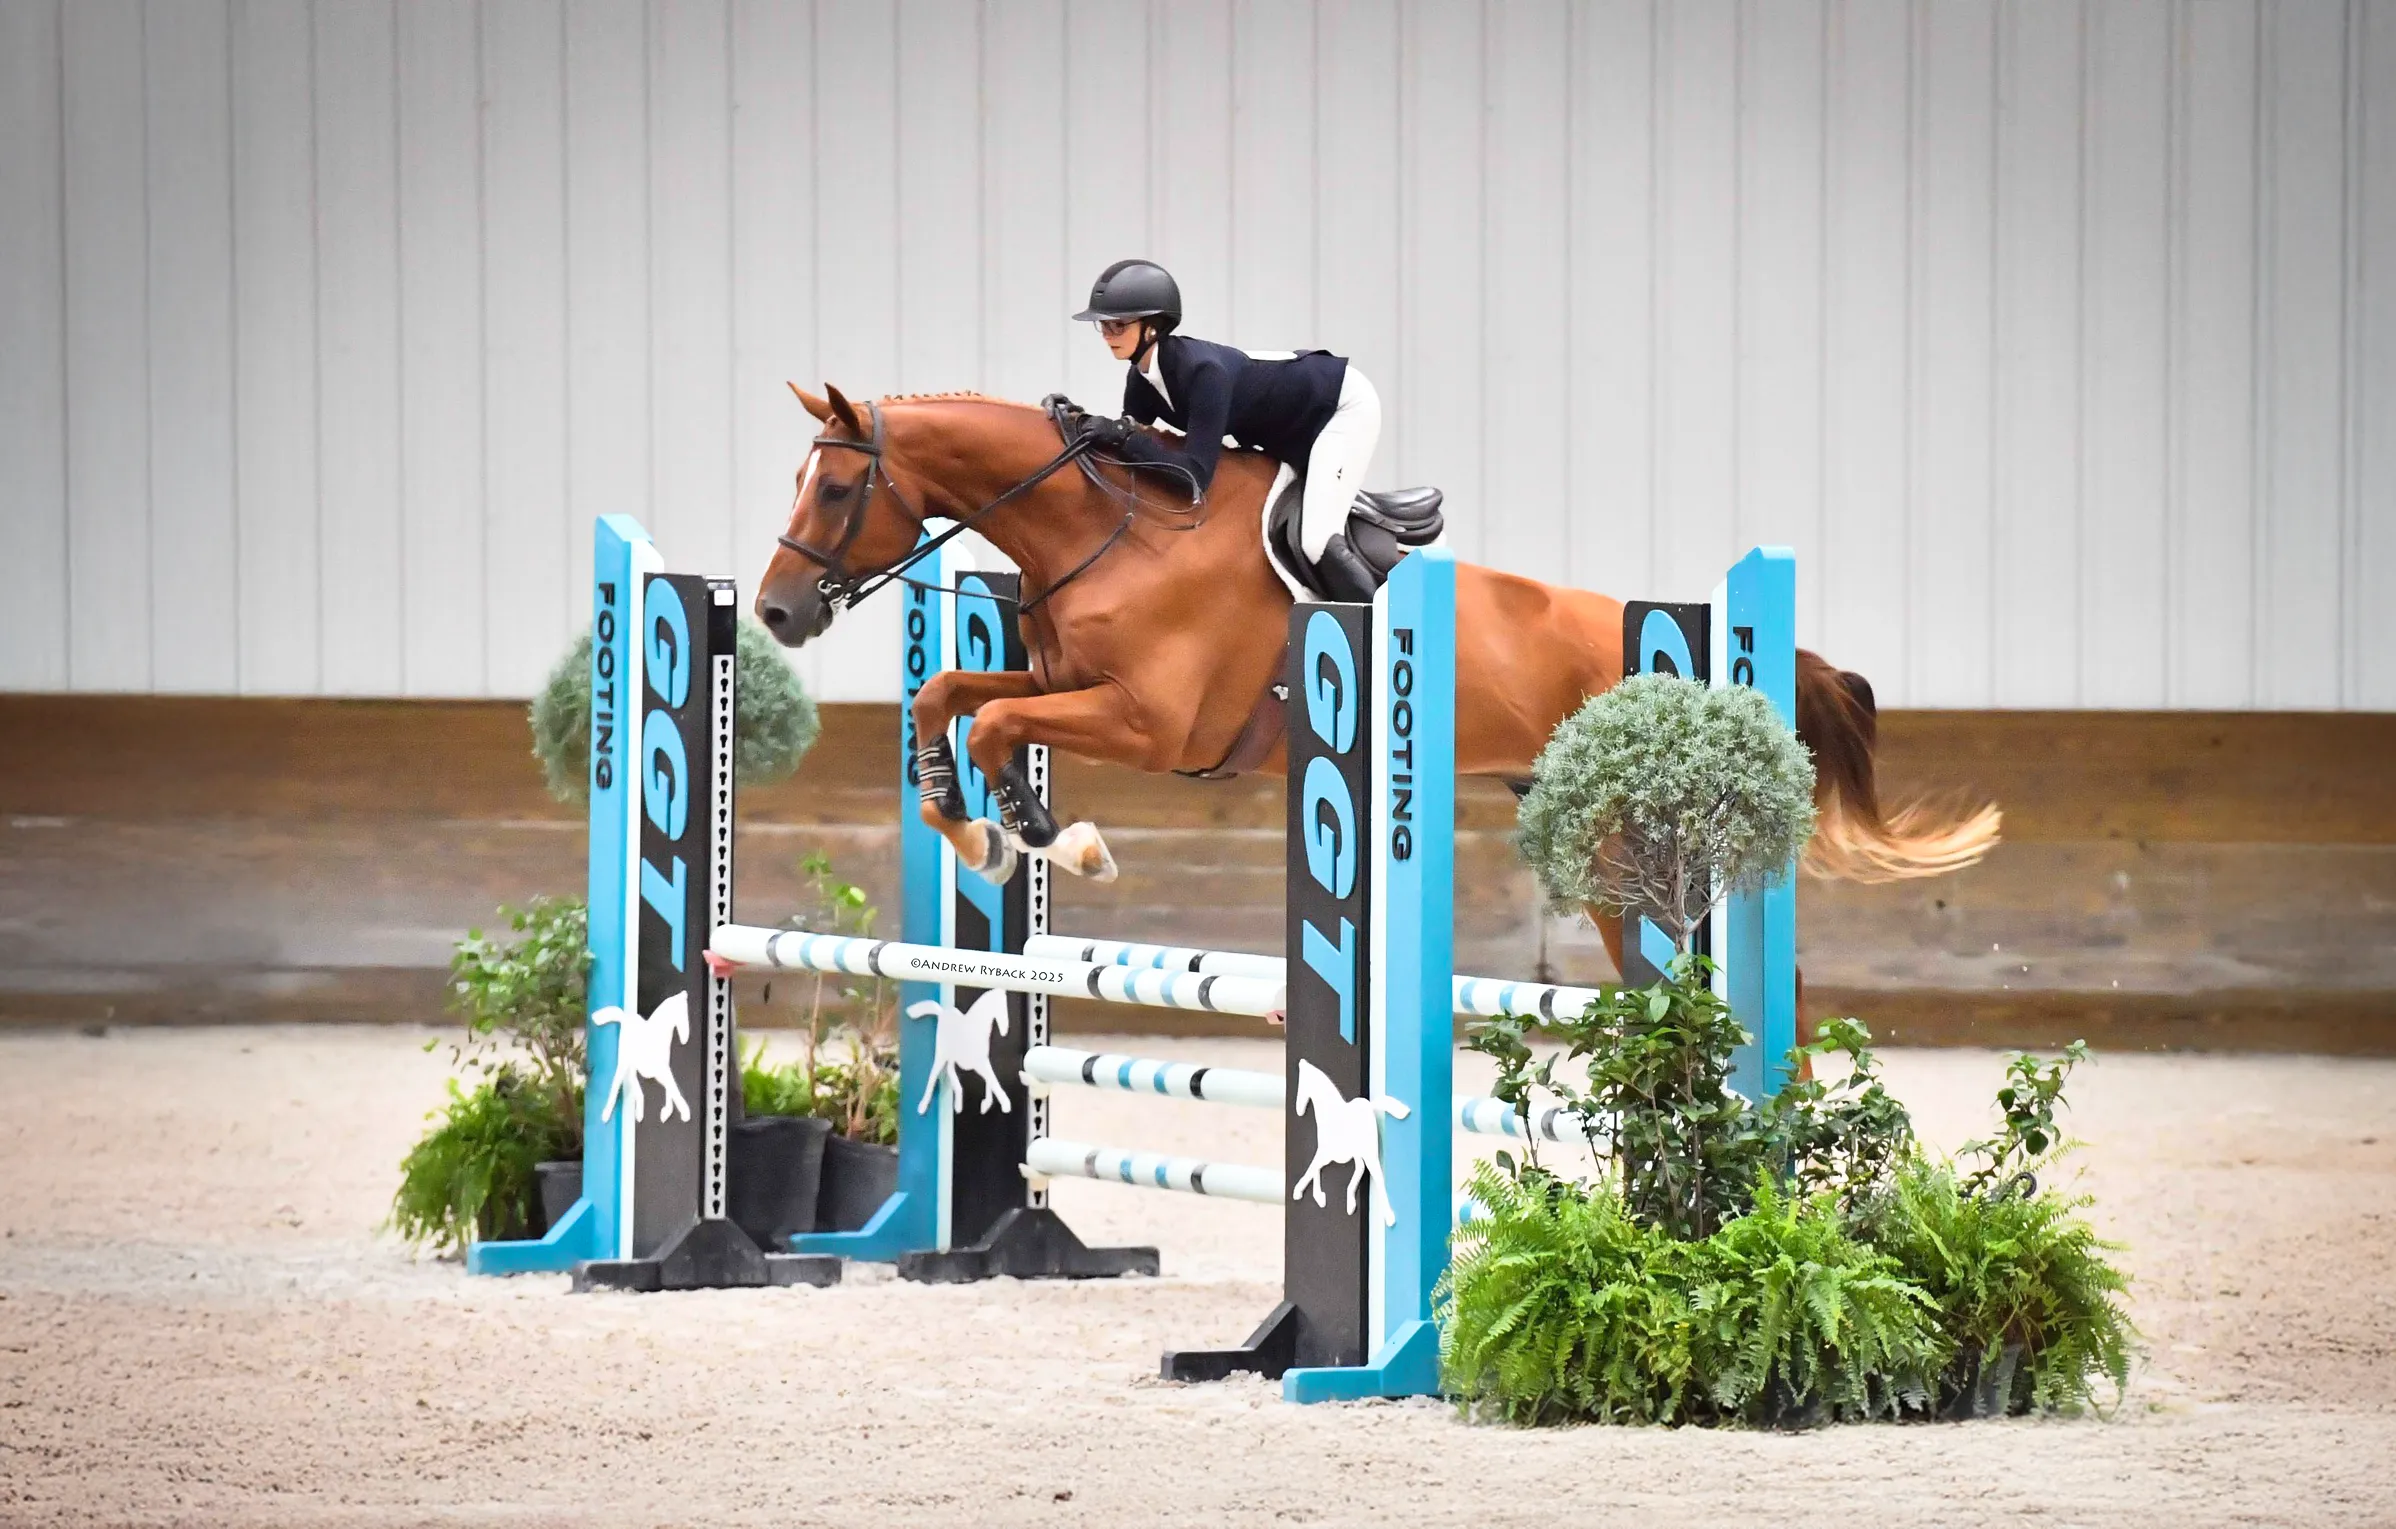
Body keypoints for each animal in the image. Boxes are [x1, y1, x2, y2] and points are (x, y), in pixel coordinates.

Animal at [753, 383, 2001, 992]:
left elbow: (999, 721)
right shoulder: (1061, 677)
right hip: (1599, 846)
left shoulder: (1150, 724)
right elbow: (952, 698)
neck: (1107, 531)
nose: (772, 611)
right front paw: (973, 827)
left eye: (835, 490)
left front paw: (1049, 837)